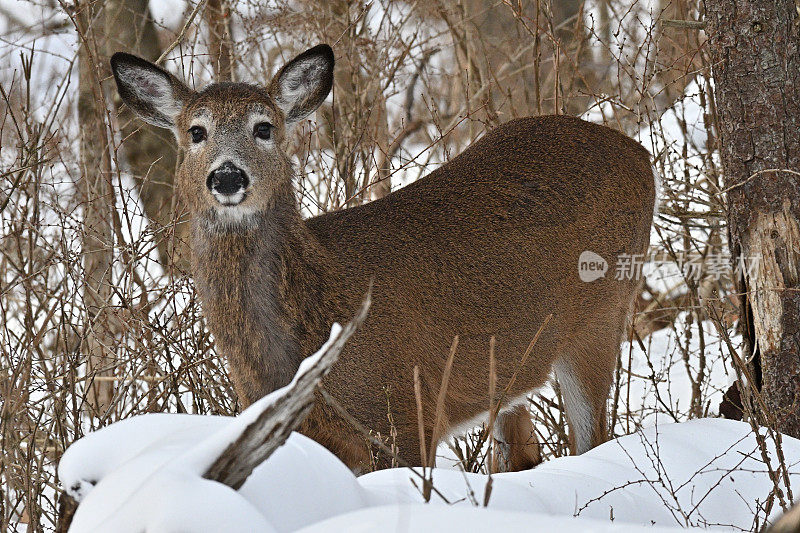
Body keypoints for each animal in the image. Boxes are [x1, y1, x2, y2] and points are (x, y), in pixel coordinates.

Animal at [109, 44, 656, 470]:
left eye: (264, 127)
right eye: (195, 131)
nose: (226, 176)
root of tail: (639, 152)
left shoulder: (408, 409)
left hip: (600, 314)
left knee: (593, 440)